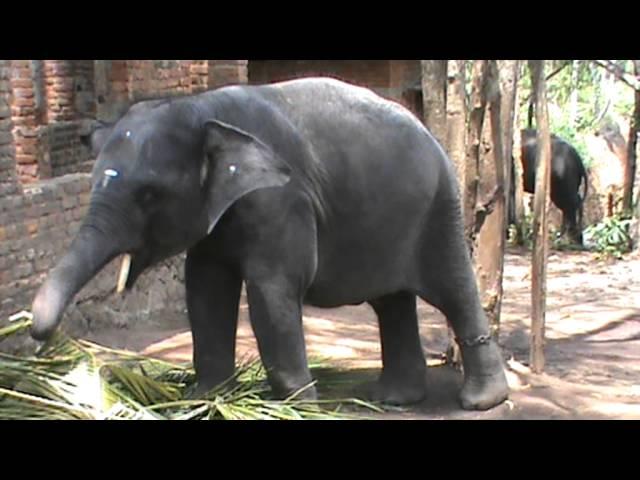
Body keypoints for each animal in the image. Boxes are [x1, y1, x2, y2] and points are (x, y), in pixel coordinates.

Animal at [30, 77, 510, 410]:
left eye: (148, 194)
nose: (41, 342)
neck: (201, 108)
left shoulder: (282, 199)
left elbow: (272, 290)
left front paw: (300, 408)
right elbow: (204, 286)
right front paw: (206, 398)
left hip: (440, 207)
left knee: (452, 289)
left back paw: (480, 402)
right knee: (391, 301)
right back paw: (394, 399)